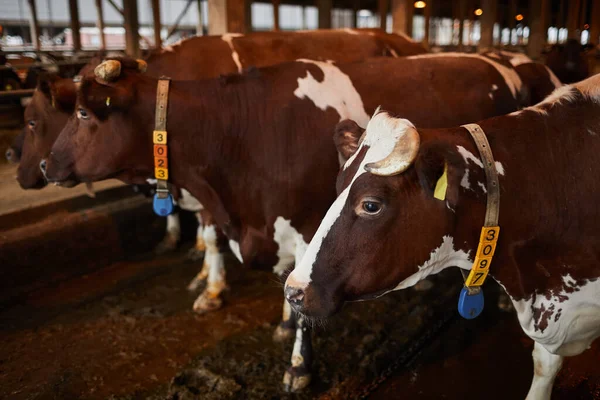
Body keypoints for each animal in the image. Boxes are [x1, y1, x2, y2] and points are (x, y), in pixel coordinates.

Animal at [41, 50, 540, 390]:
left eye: (82, 113)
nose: (46, 165)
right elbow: (286, 281)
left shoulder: (308, 222)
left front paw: (299, 365)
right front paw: (280, 321)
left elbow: (304, 296)